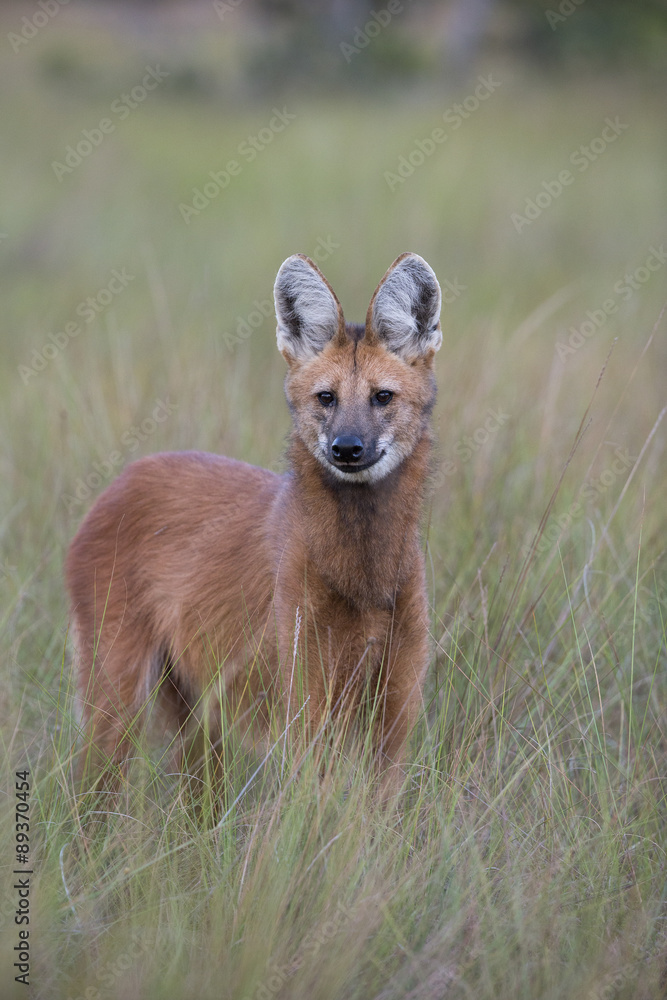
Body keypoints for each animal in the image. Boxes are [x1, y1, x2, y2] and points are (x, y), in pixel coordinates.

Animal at [66, 252, 444, 796]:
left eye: (382, 397)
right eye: (326, 398)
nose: (347, 448)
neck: (364, 575)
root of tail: (125, 475)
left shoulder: (393, 716)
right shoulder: (307, 703)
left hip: (199, 716)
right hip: (120, 692)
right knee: (91, 790)